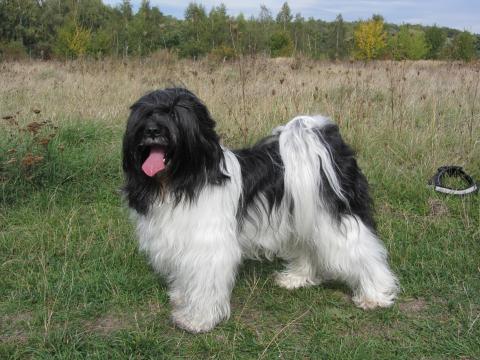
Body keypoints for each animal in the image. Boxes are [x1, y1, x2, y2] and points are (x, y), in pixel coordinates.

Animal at [122, 88, 400, 334]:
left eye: (174, 113)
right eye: (147, 114)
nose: (152, 130)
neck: (180, 180)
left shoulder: (208, 248)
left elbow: (204, 285)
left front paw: (197, 320)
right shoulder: (179, 240)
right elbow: (184, 276)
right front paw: (181, 298)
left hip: (336, 218)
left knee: (364, 253)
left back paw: (375, 294)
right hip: (304, 216)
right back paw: (297, 278)